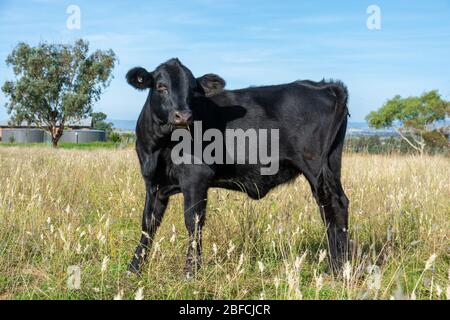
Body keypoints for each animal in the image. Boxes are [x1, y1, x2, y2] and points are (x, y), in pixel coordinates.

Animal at [125, 58, 350, 276]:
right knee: (335, 205)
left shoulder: (195, 176)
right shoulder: (153, 182)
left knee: (332, 205)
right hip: (331, 162)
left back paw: (337, 268)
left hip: (315, 165)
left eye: (193, 90)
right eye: (161, 86)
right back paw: (340, 265)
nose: (184, 116)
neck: (159, 147)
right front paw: (134, 267)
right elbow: (149, 223)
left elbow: (193, 221)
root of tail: (325, 86)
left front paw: (191, 271)